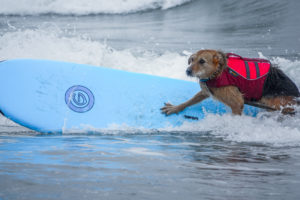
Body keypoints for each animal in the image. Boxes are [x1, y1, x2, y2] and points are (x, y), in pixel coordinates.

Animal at [162, 49, 300, 115]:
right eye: (191, 60)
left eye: (202, 61)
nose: (188, 71)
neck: (217, 72)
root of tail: (297, 96)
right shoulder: (207, 91)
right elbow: (189, 101)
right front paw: (176, 108)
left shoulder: (237, 103)